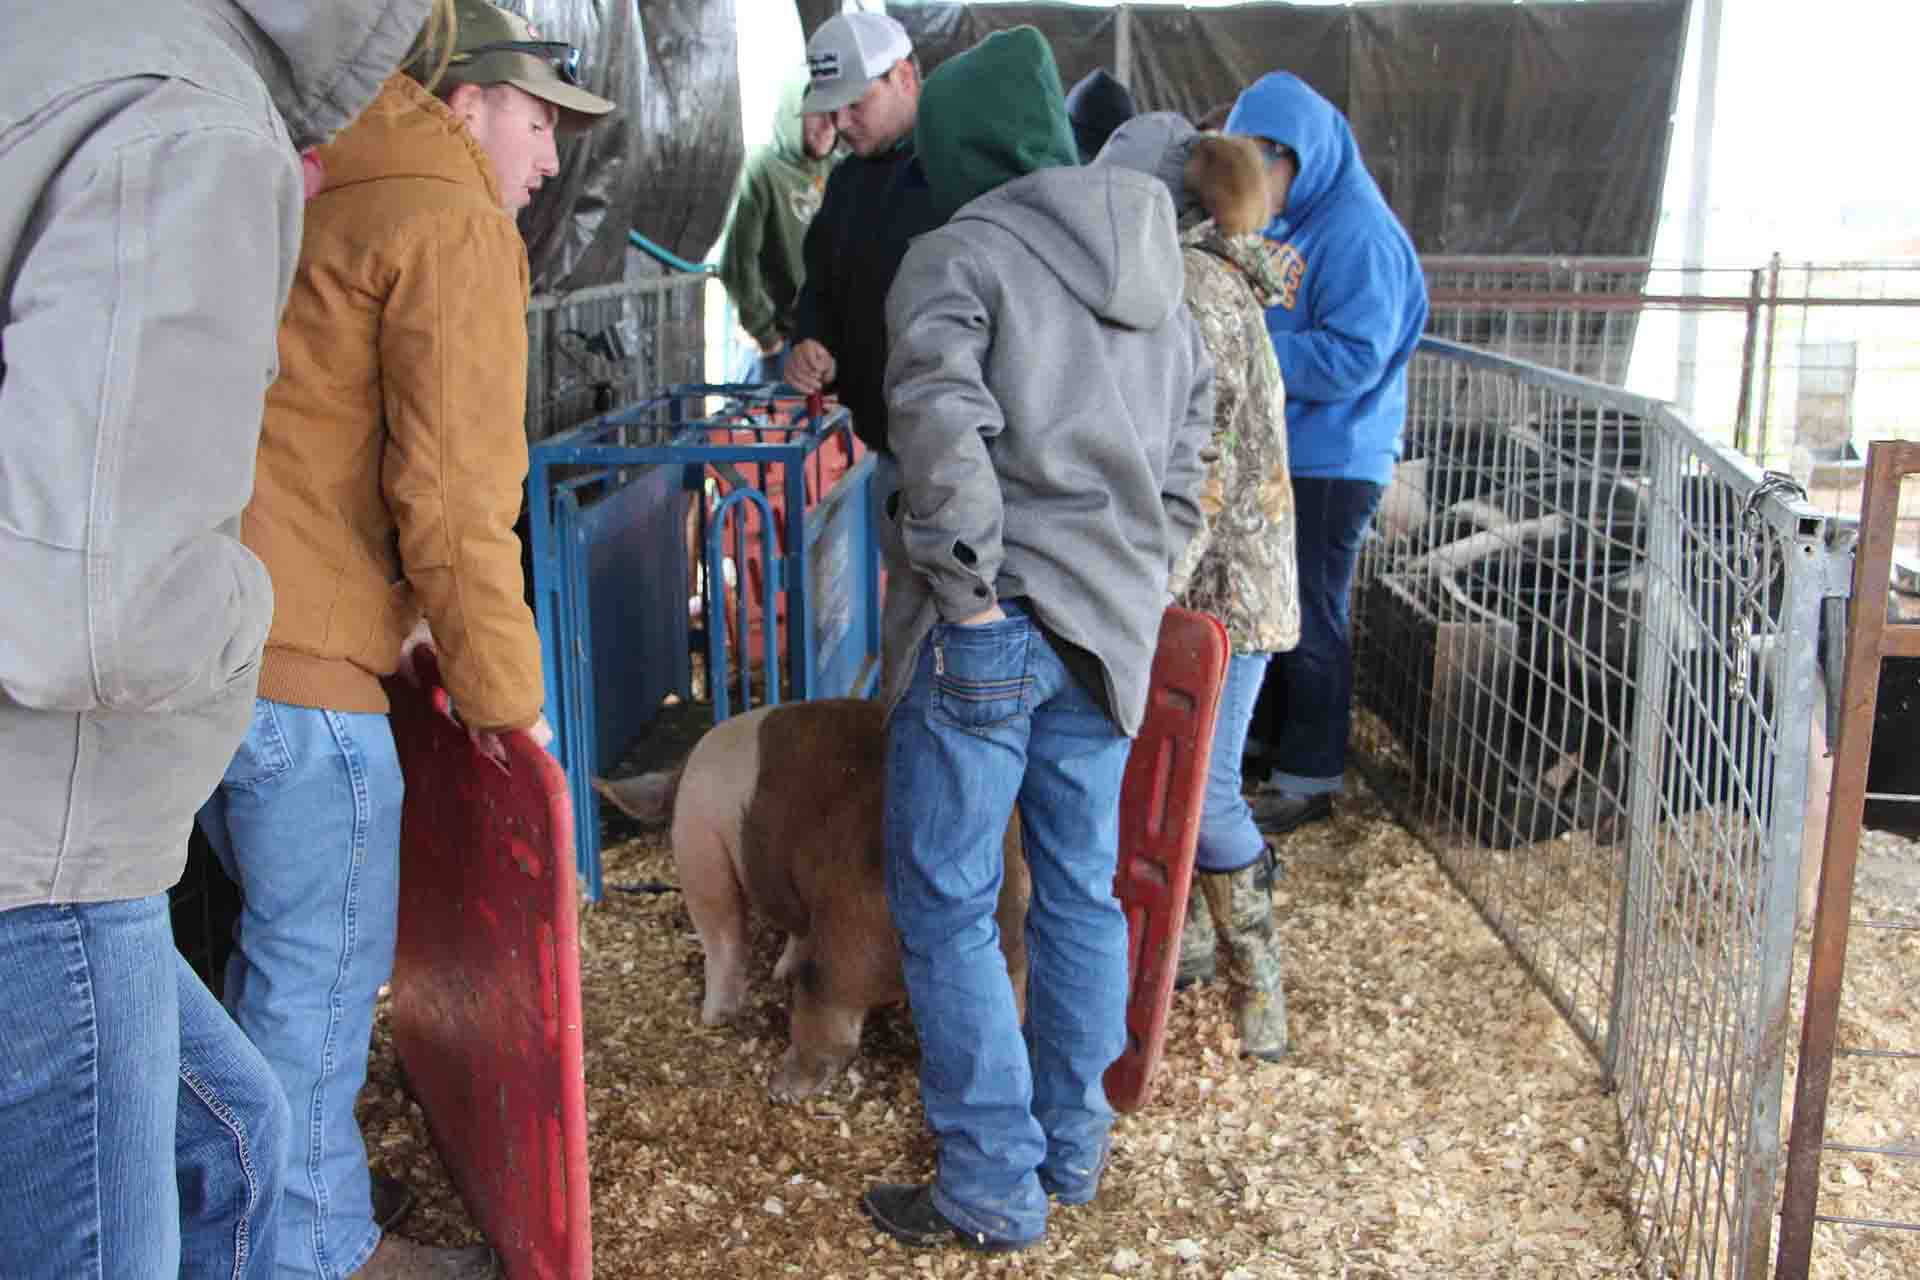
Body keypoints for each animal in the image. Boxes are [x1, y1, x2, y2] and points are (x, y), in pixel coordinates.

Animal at [595, 694, 1029, 1097]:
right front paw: (777, 973)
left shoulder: (701, 849)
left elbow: (722, 937)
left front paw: (713, 1017)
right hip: (1010, 936)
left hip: (847, 931)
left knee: (827, 1006)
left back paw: (783, 1087)